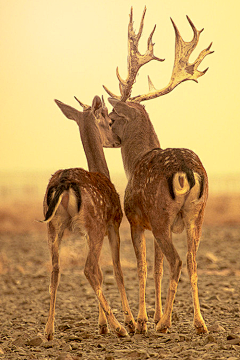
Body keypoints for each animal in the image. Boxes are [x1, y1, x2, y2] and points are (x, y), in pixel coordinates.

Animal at [40, 94, 136, 338]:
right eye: (109, 121)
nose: (117, 139)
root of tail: (64, 182)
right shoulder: (112, 224)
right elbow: (116, 270)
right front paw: (127, 322)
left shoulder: (85, 233)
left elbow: (103, 272)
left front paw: (101, 325)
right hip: (95, 224)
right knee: (89, 269)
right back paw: (121, 328)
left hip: (53, 225)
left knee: (55, 270)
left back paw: (48, 331)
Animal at [102, 7, 213, 334]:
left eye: (111, 118)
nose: (107, 138)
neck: (136, 162)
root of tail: (188, 171)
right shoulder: (153, 224)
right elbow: (157, 269)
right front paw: (153, 315)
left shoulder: (137, 219)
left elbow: (143, 267)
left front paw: (142, 321)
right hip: (196, 215)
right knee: (191, 262)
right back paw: (199, 323)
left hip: (163, 214)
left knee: (177, 261)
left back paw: (164, 325)